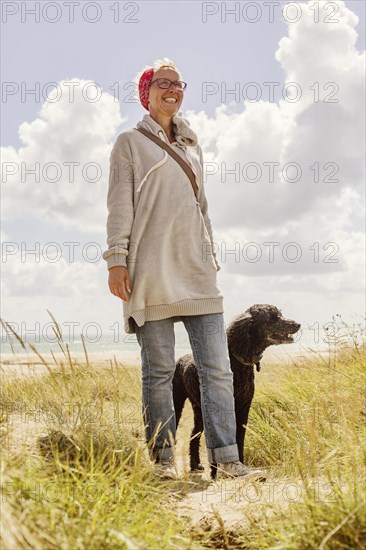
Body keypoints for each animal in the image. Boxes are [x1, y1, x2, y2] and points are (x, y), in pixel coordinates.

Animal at [172, 306, 300, 478]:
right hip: (178, 402)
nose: (297, 324)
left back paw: (195, 465)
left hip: (198, 410)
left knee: (194, 435)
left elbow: (239, 439)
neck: (237, 364)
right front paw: (215, 473)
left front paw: (240, 466)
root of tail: (180, 359)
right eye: (273, 317)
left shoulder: (244, 407)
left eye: (280, 314)